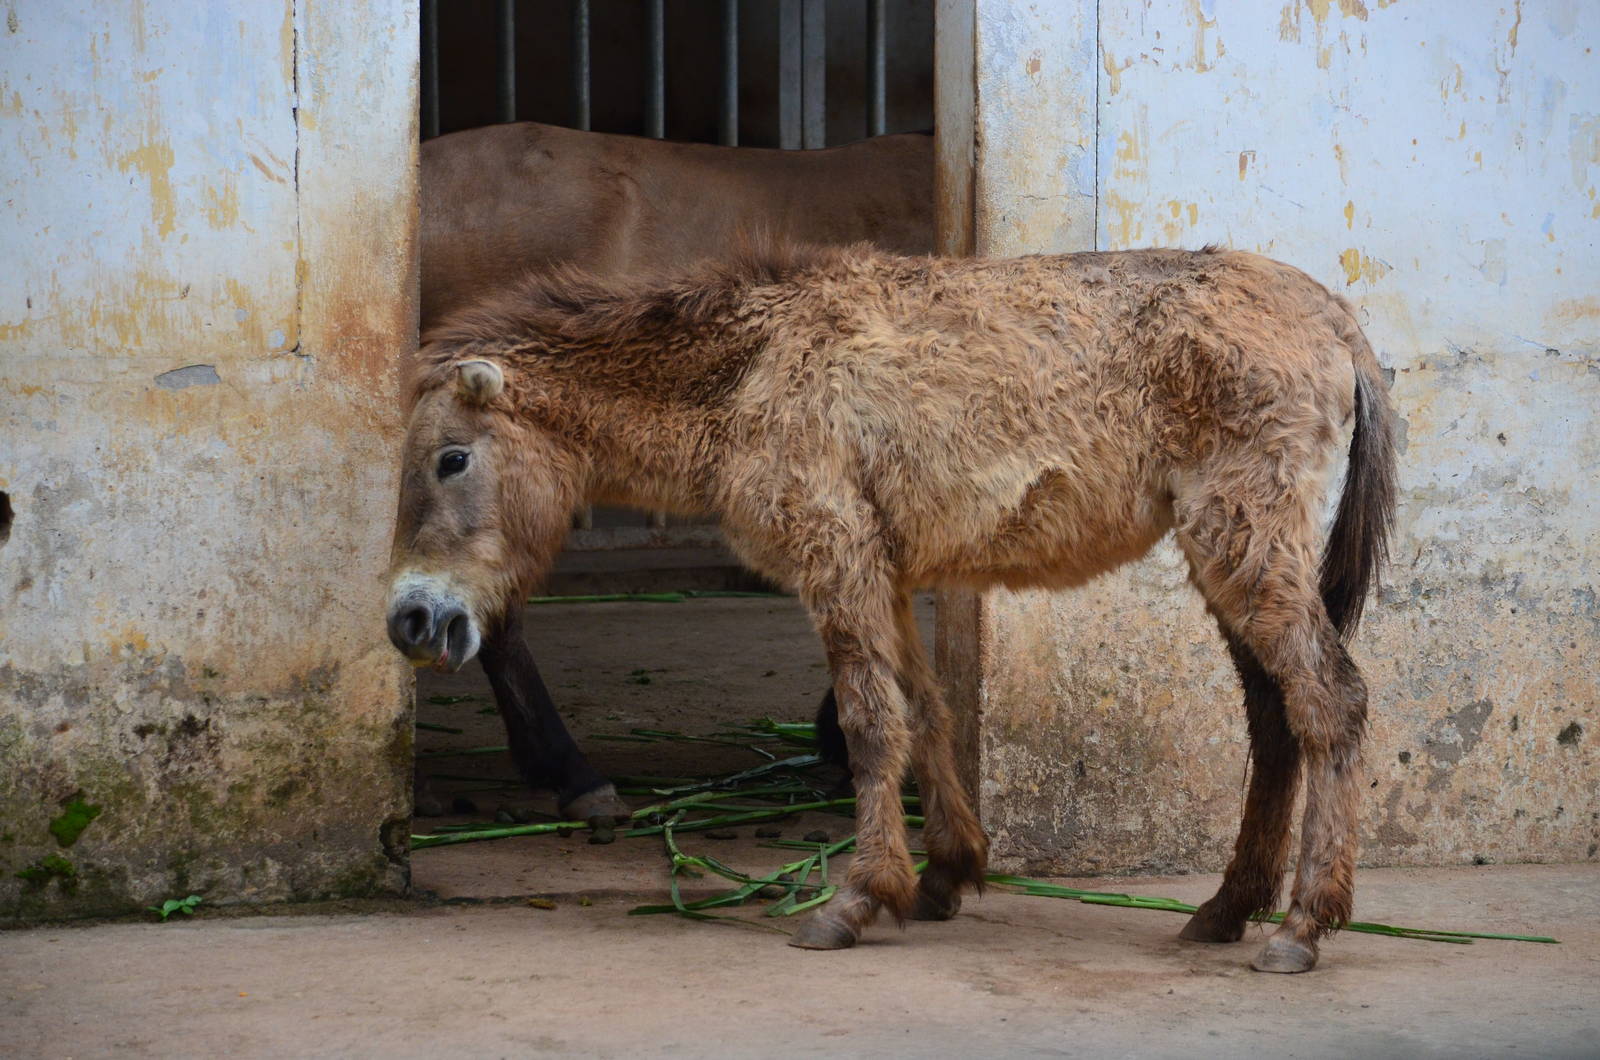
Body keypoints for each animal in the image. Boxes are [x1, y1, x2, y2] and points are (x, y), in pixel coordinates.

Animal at [385, 242, 1397, 973]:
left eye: (450, 460)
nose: (407, 622)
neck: (749, 375)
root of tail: (1334, 314)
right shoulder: (890, 574)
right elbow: (926, 712)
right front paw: (944, 874)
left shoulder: (838, 560)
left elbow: (873, 728)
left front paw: (855, 900)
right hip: (1229, 553)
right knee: (1275, 719)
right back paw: (1226, 910)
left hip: (1239, 541)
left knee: (1332, 702)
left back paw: (1302, 927)